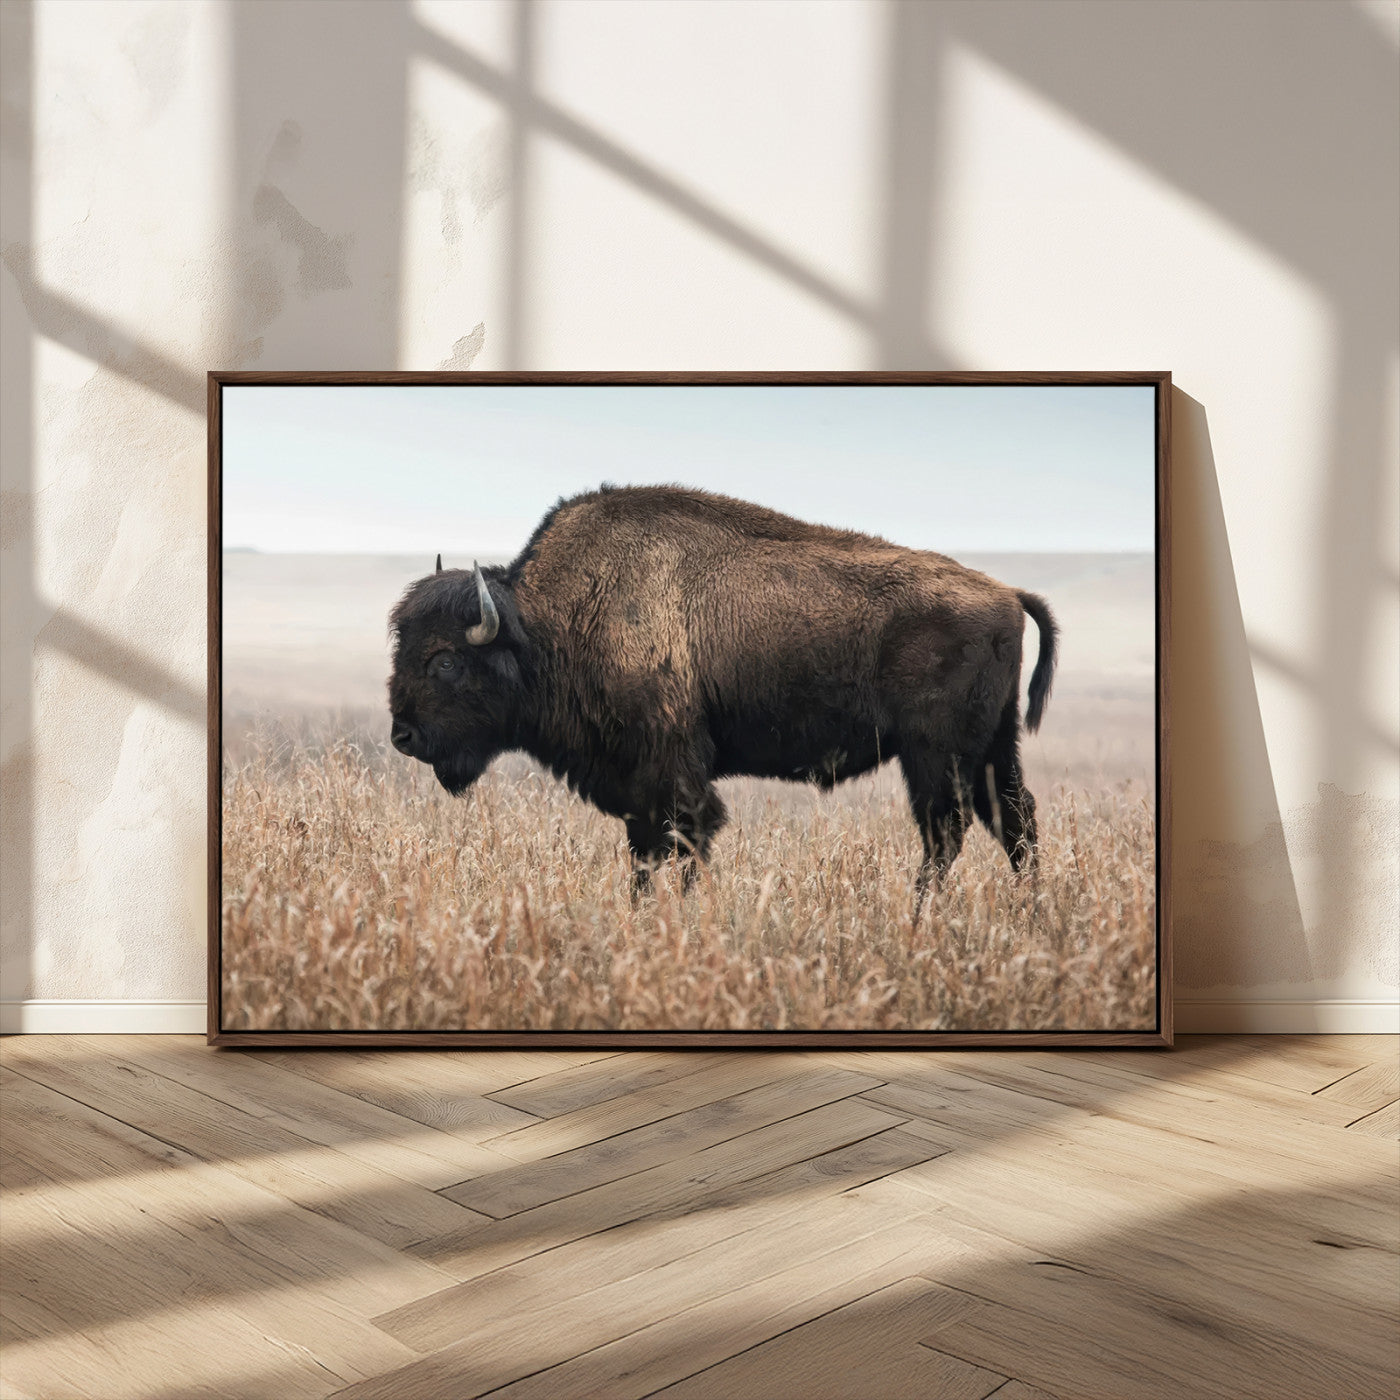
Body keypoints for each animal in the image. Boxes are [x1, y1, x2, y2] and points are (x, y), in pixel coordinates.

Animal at [388, 484, 1057, 905]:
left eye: (445, 660)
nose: (402, 736)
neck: (550, 624)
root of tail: (1006, 593)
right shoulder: (638, 788)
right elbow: (645, 855)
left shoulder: (673, 774)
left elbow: (686, 840)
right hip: (993, 748)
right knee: (1014, 822)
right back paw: (1029, 914)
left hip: (935, 755)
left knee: (947, 831)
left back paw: (920, 916)